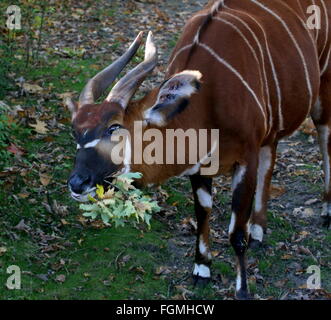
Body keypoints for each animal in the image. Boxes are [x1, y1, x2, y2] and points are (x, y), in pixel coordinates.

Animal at [67, 0, 331, 300]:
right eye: (74, 129)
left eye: (114, 127)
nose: (77, 182)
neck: (209, 101)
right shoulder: (201, 166)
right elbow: (203, 211)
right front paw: (201, 270)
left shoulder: (246, 159)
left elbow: (235, 232)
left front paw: (242, 290)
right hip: (271, 130)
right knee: (271, 156)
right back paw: (259, 231)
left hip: (323, 87)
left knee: (324, 137)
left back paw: (326, 212)